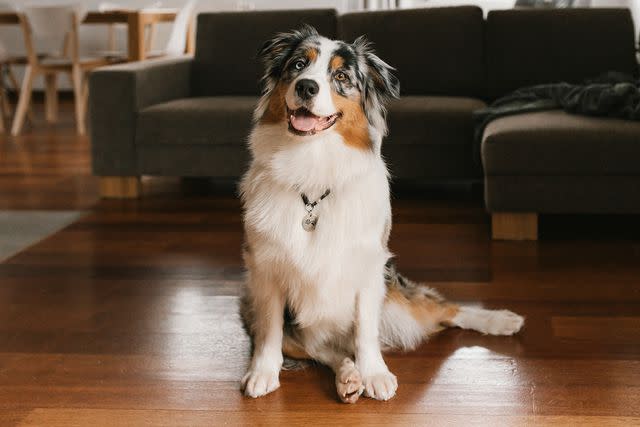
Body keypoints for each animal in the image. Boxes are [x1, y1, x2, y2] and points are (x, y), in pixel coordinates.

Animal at [240, 25, 524, 404]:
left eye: (341, 76)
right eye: (298, 65)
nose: (306, 86)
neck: (313, 171)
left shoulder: (368, 265)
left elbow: (366, 330)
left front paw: (375, 373)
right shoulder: (265, 269)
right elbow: (270, 329)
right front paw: (262, 372)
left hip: (397, 296)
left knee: (444, 309)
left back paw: (502, 320)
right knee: (324, 349)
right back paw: (347, 377)